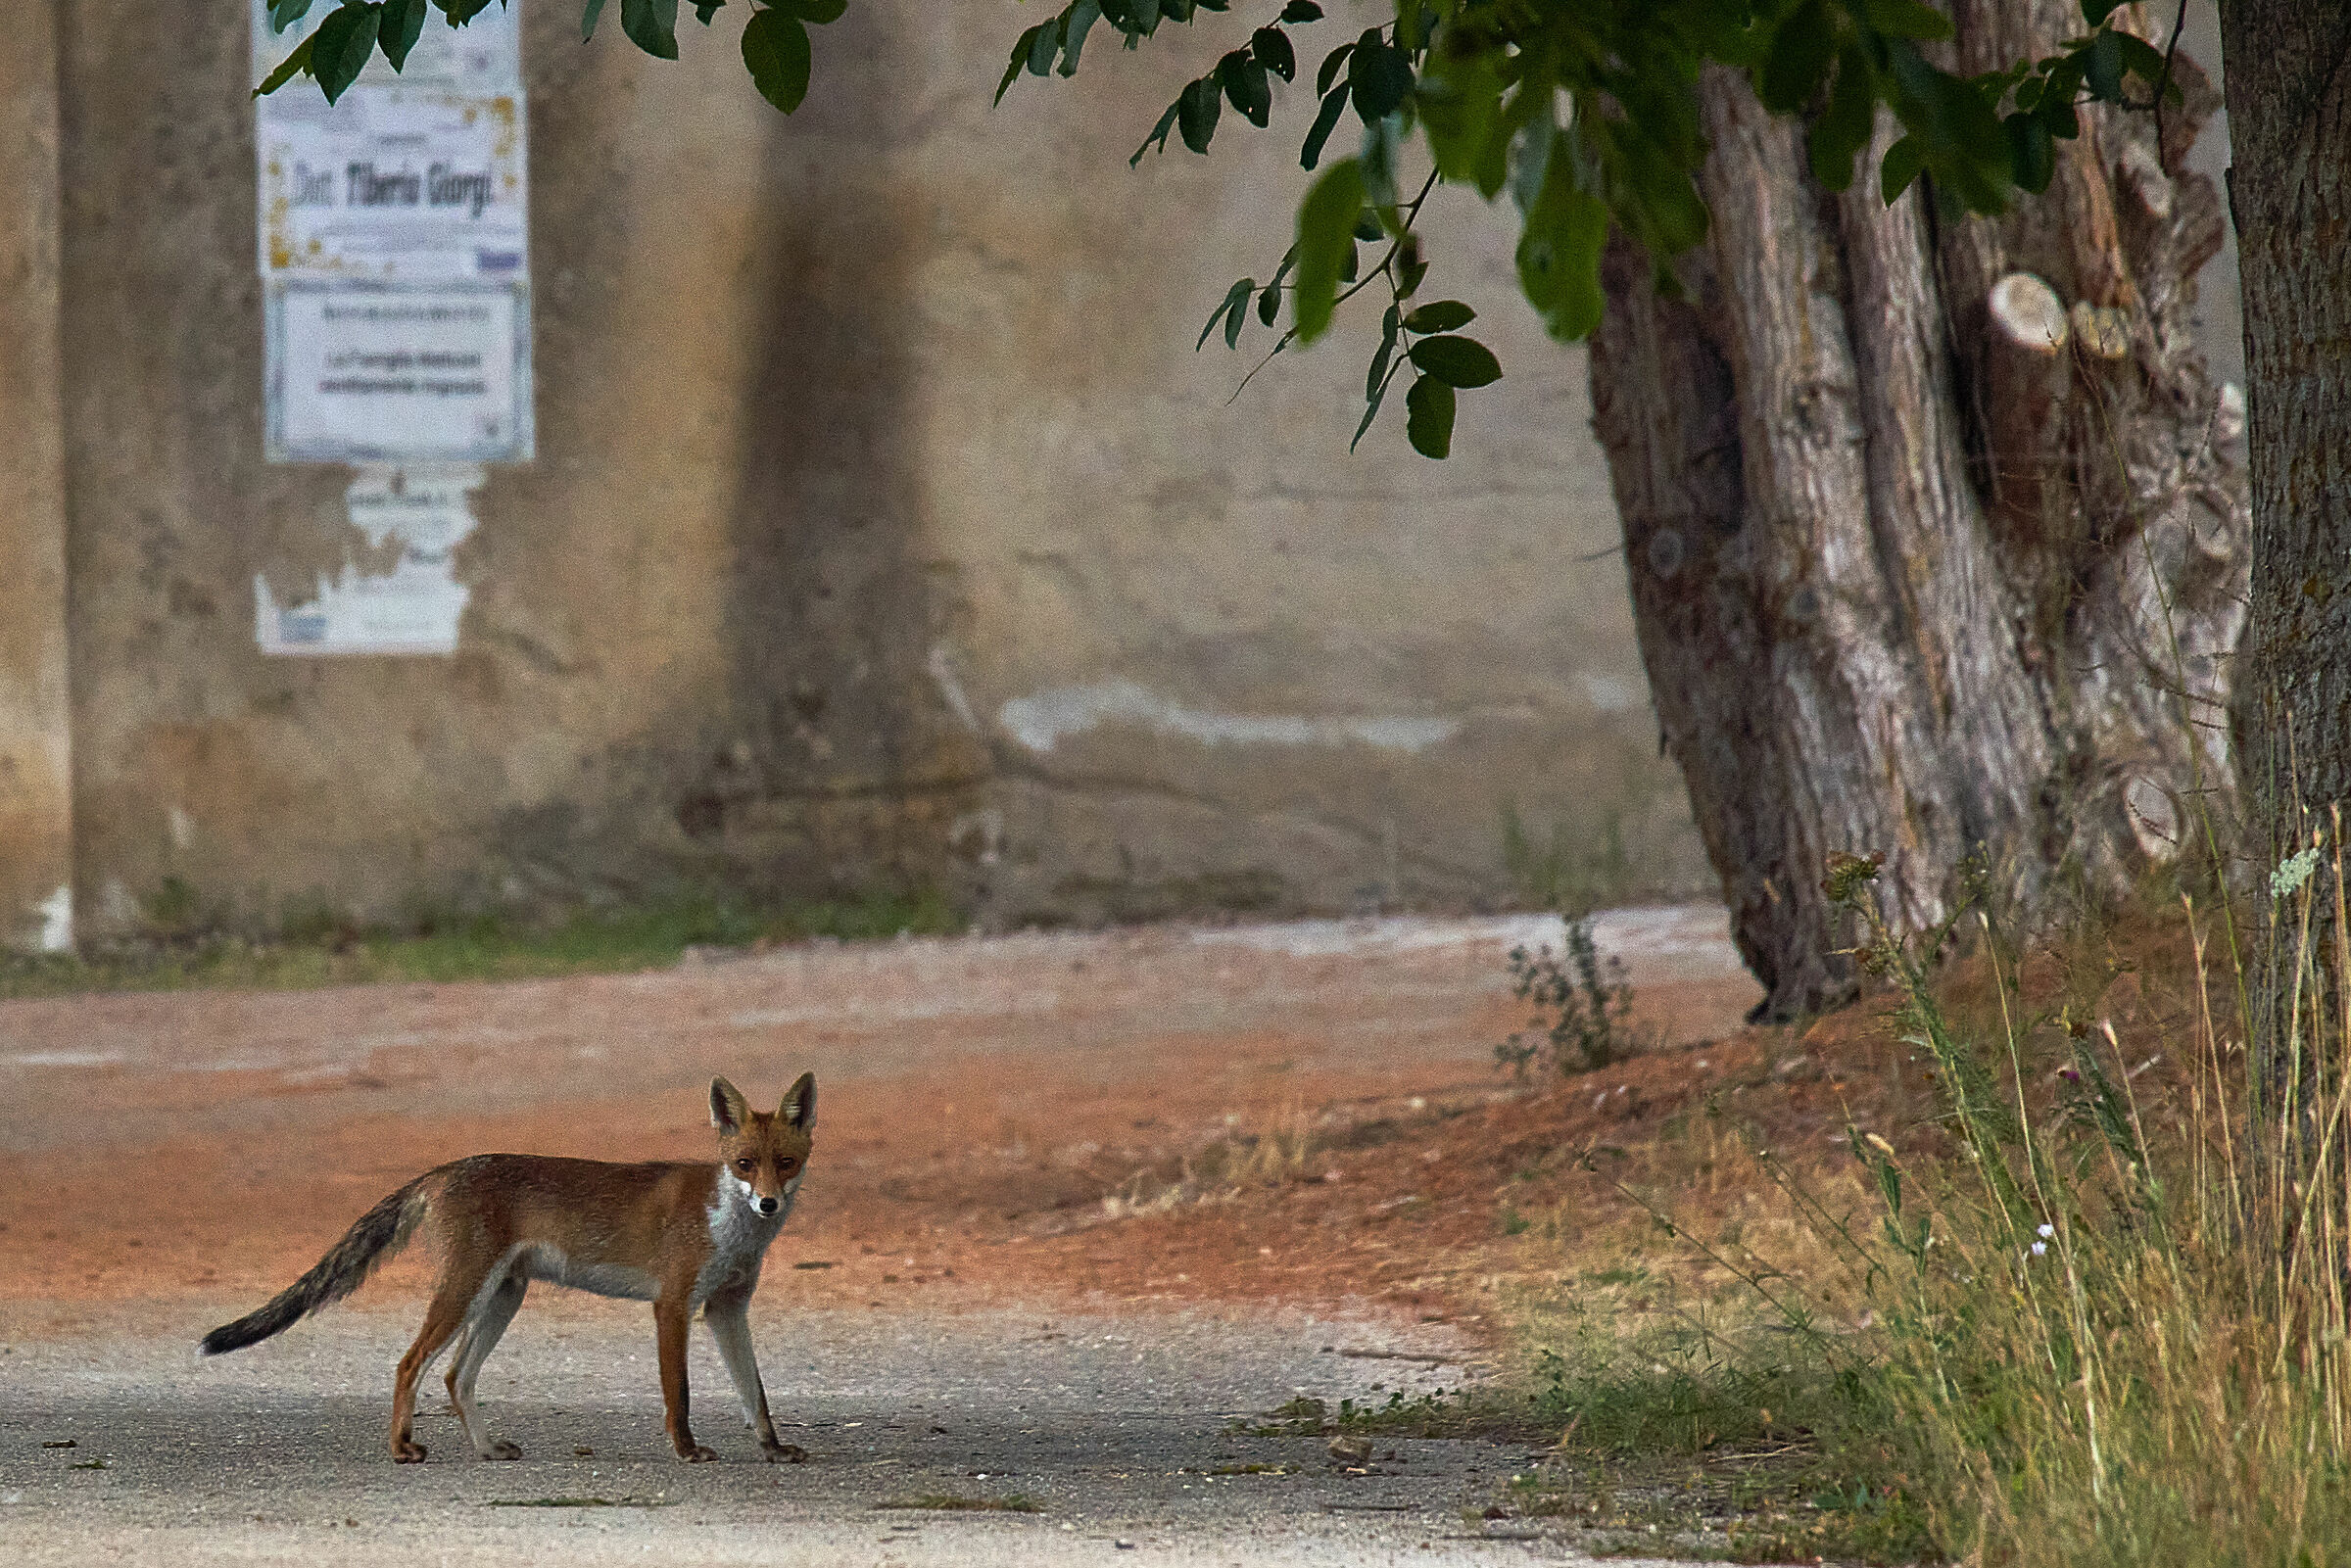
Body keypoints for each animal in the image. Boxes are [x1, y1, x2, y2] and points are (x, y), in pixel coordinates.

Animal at [199, 1073, 815, 1465]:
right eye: (744, 1164)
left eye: (785, 1163)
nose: (767, 1204)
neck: (728, 1227)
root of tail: (445, 1169)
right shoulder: (673, 1305)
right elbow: (679, 1393)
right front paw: (686, 1451)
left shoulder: (726, 1308)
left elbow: (755, 1394)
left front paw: (772, 1448)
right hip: (467, 1292)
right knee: (409, 1365)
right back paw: (401, 1449)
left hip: (503, 1297)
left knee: (455, 1376)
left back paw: (486, 1449)